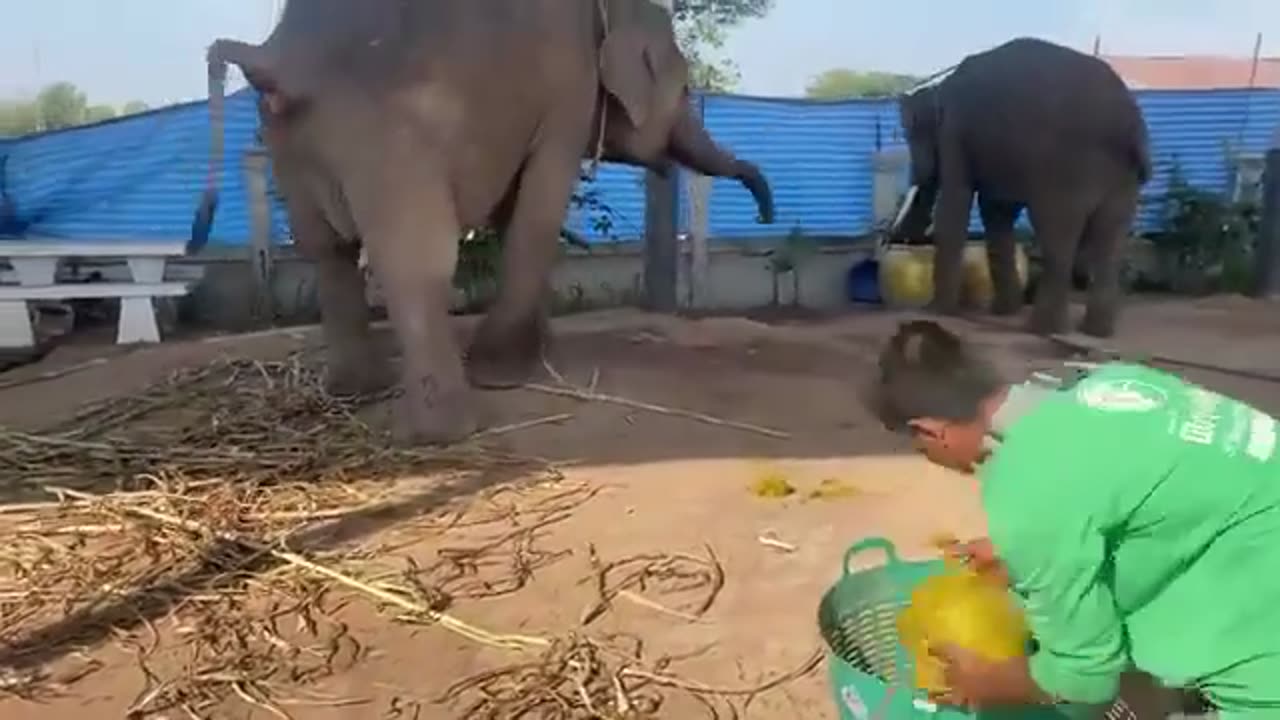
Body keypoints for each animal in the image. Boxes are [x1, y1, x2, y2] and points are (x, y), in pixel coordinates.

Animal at [191, 0, 776, 445]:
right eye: (685, 91)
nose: (764, 215)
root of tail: (275, 57)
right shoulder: (568, 88)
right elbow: (538, 205)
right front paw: (502, 376)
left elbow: (512, 211)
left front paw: (535, 356)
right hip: (388, 129)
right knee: (415, 261)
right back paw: (446, 432)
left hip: (289, 138)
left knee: (326, 250)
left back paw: (356, 392)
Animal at [891, 37, 1151, 338]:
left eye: (909, 135)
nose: (901, 239)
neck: (937, 88)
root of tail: (1131, 123)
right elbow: (997, 211)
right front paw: (1003, 312)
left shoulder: (954, 133)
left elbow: (956, 204)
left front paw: (935, 312)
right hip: (1124, 177)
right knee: (1111, 241)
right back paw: (1095, 331)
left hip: (1068, 168)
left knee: (1057, 237)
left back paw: (1045, 329)